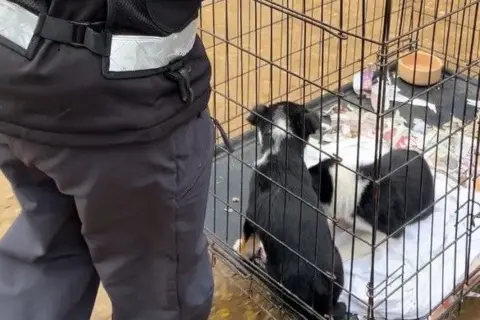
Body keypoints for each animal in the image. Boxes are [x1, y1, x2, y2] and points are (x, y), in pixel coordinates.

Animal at [232, 101, 344, 318]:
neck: (281, 150)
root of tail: (319, 285)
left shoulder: (251, 215)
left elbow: (246, 236)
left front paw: (239, 249)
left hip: (275, 274)